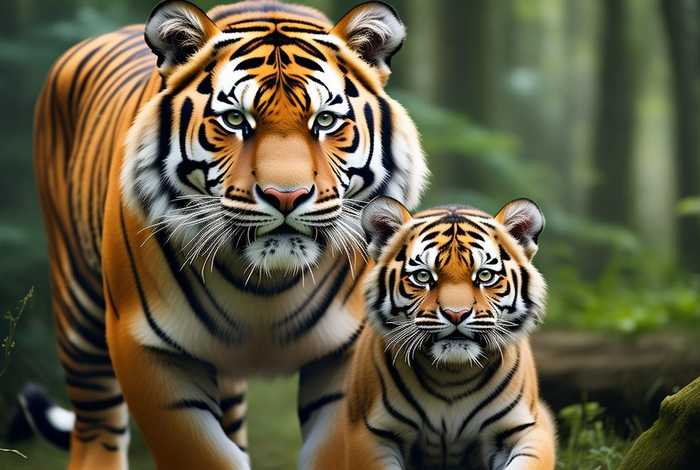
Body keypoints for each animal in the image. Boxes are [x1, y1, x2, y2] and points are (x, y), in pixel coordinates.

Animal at [20, 0, 427, 468]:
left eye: (325, 120)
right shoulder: (145, 347)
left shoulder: (346, 354)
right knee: (96, 431)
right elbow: (201, 453)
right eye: (235, 119)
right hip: (80, 316)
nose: (285, 196)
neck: (265, 287)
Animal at [311, 197, 556, 470]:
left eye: (485, 275)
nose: (456, 314)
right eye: (422, 276)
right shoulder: (371, 434)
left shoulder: (527, 428)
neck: (452, 375)